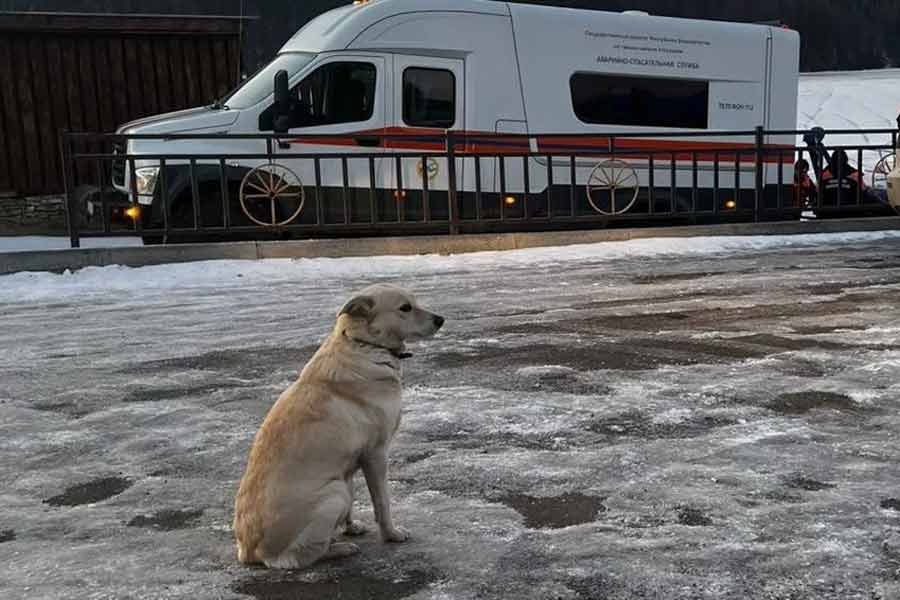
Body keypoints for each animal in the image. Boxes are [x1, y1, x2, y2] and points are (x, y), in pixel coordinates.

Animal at [232, 284, 442, 568]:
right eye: (405, 308)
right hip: (334, 493)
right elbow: (382, 503)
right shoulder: (376, 454)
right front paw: (391, 534)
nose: (441, 320)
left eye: (415, 302)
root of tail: (249, 552)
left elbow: (354, 501)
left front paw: (350, 527)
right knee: (296, 558)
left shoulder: (350, 462)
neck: (364, 345)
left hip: (339, 485)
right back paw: (339, 549)